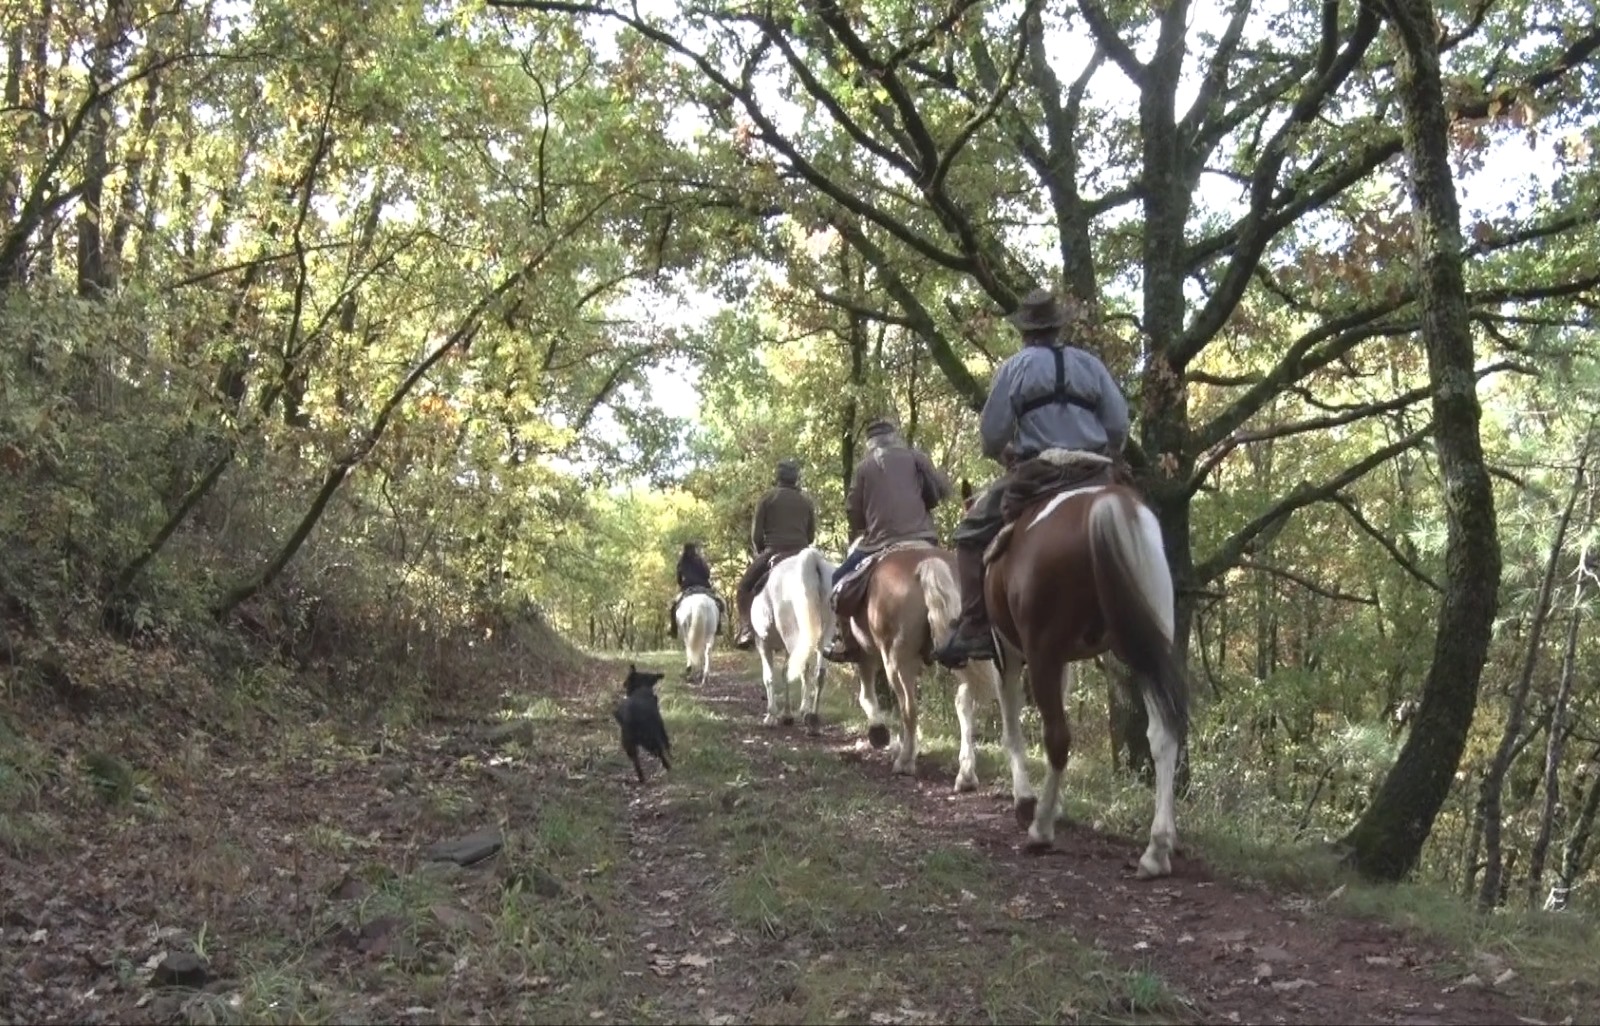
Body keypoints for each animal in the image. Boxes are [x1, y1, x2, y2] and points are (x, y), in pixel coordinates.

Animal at [748, 547, 838, 733]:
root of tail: (813, 560)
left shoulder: (763, 643)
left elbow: (769, 676)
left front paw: (772, 715)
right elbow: (784, 672)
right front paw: (787, 713)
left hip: (792, 637)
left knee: (800, 669)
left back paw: (804, 716)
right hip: (825, 636)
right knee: (819, 673)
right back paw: (812, 718)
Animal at [972, 451, 1190, 877]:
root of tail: (1107, 505)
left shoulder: (1012, 654)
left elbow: (1012, 728)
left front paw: (1028, 801)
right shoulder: (1061, 660)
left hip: (1043, 651)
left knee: (1057, 737)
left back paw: (1040, 831)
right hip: (1142, 645)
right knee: (1163, 733)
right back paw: (1158, 848)